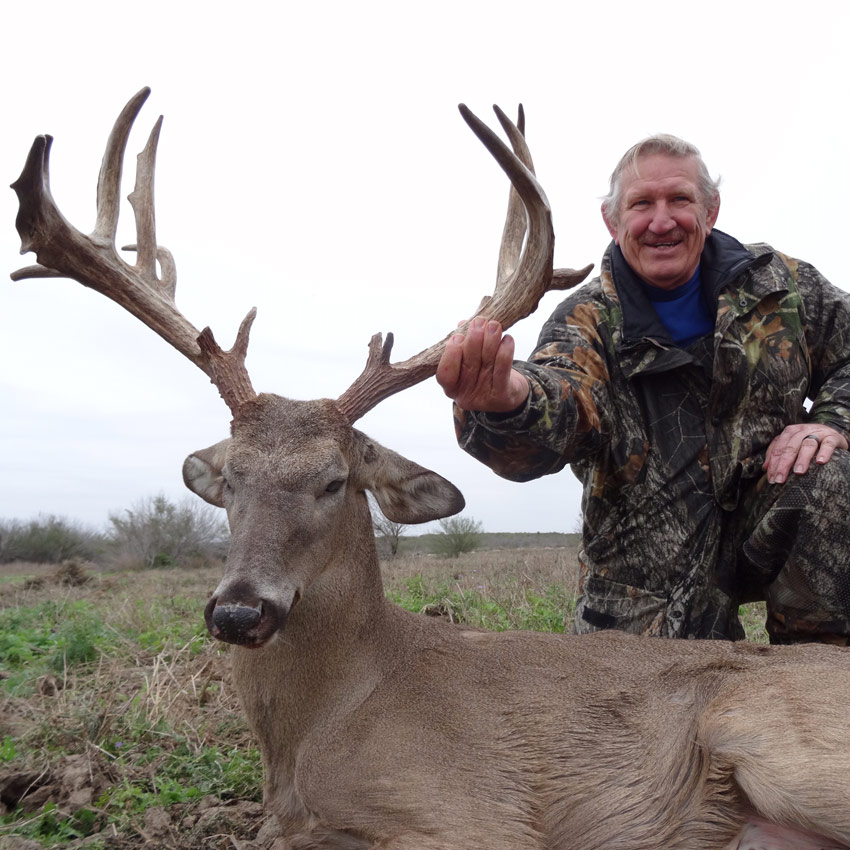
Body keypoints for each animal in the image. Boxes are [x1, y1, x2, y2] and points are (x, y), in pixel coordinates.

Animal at [11, 88, 850, 850]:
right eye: (231, 481)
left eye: (334, 481)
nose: (239, 612)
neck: (321, 727)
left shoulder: (476, 815)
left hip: (773, 741)